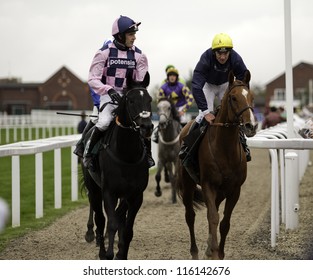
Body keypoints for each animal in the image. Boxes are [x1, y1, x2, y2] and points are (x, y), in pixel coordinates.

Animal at [81, 75, 153, 260]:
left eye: (150, 99)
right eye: (131, 100)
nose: (147, 127)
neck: (126, 155)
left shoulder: (135, 195)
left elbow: (126, 228)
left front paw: (121, 254)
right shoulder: (109, 192)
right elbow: (111, 223)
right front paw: (108, 254)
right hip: (94, 189)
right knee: (100, 219)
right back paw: (99, 246)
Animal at [174, 70, 258, 260]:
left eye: (251, 97)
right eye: (233, 98)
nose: (251, 126)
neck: (225, 149)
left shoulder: (234, 189)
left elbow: (225, 222)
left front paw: (219, 252)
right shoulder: (208, 185)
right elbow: (212, 217)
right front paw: (213, 251)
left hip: (221, 191)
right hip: (188, 184)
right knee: (190, 216)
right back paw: (195, 252)